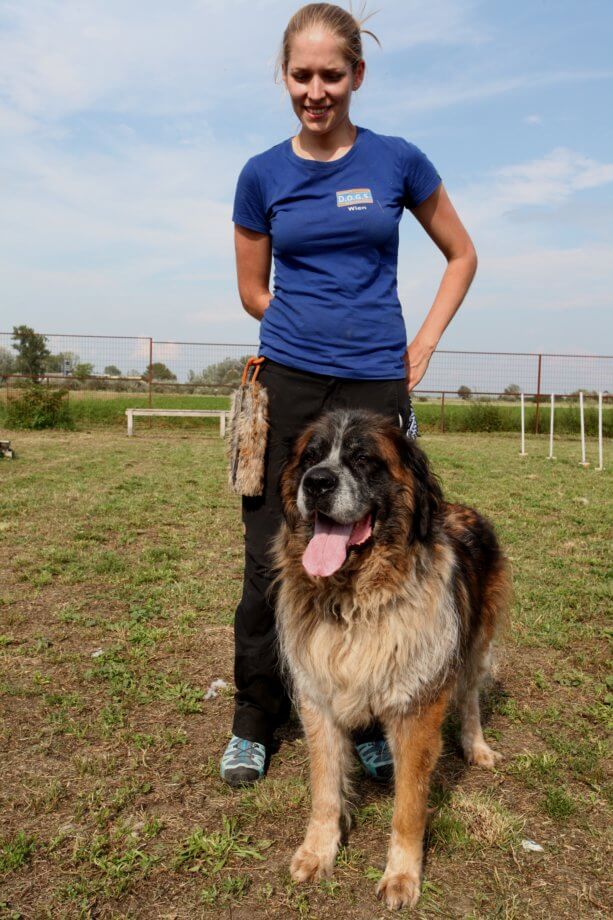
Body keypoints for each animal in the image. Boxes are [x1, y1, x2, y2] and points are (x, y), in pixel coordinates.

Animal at [273, 409, 510, 911]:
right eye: (310, 456)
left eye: (364, 459)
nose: (316, 482)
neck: (355, 599)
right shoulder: (319, 700)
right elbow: (325, 789)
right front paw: (317, 852)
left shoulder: (416, 710)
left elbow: (408, 808)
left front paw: (402, 875)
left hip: (475, 645)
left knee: (470, 699)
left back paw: (476, 746)